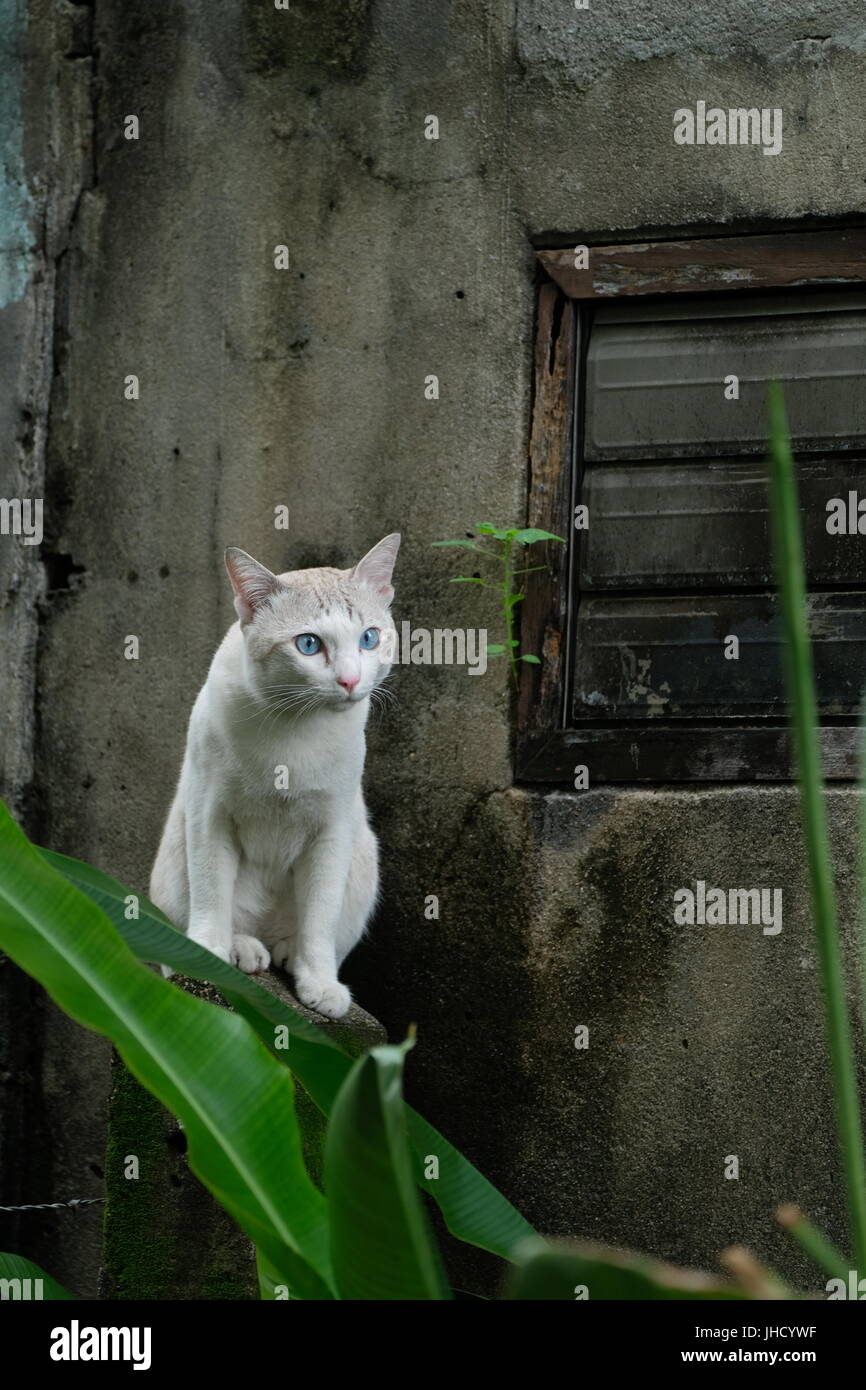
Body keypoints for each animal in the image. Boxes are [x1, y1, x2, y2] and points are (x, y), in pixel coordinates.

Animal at [150, 536, 400, 1017]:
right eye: (309, 645)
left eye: (369, 638)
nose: (350, 681)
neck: (296, 726)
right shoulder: (209, 813)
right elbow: (211, 895)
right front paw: (209, 955)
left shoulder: (333, 828)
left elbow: (320, 917)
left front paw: (319, 982)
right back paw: (244, 949)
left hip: (364, 857)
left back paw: (287, 951)